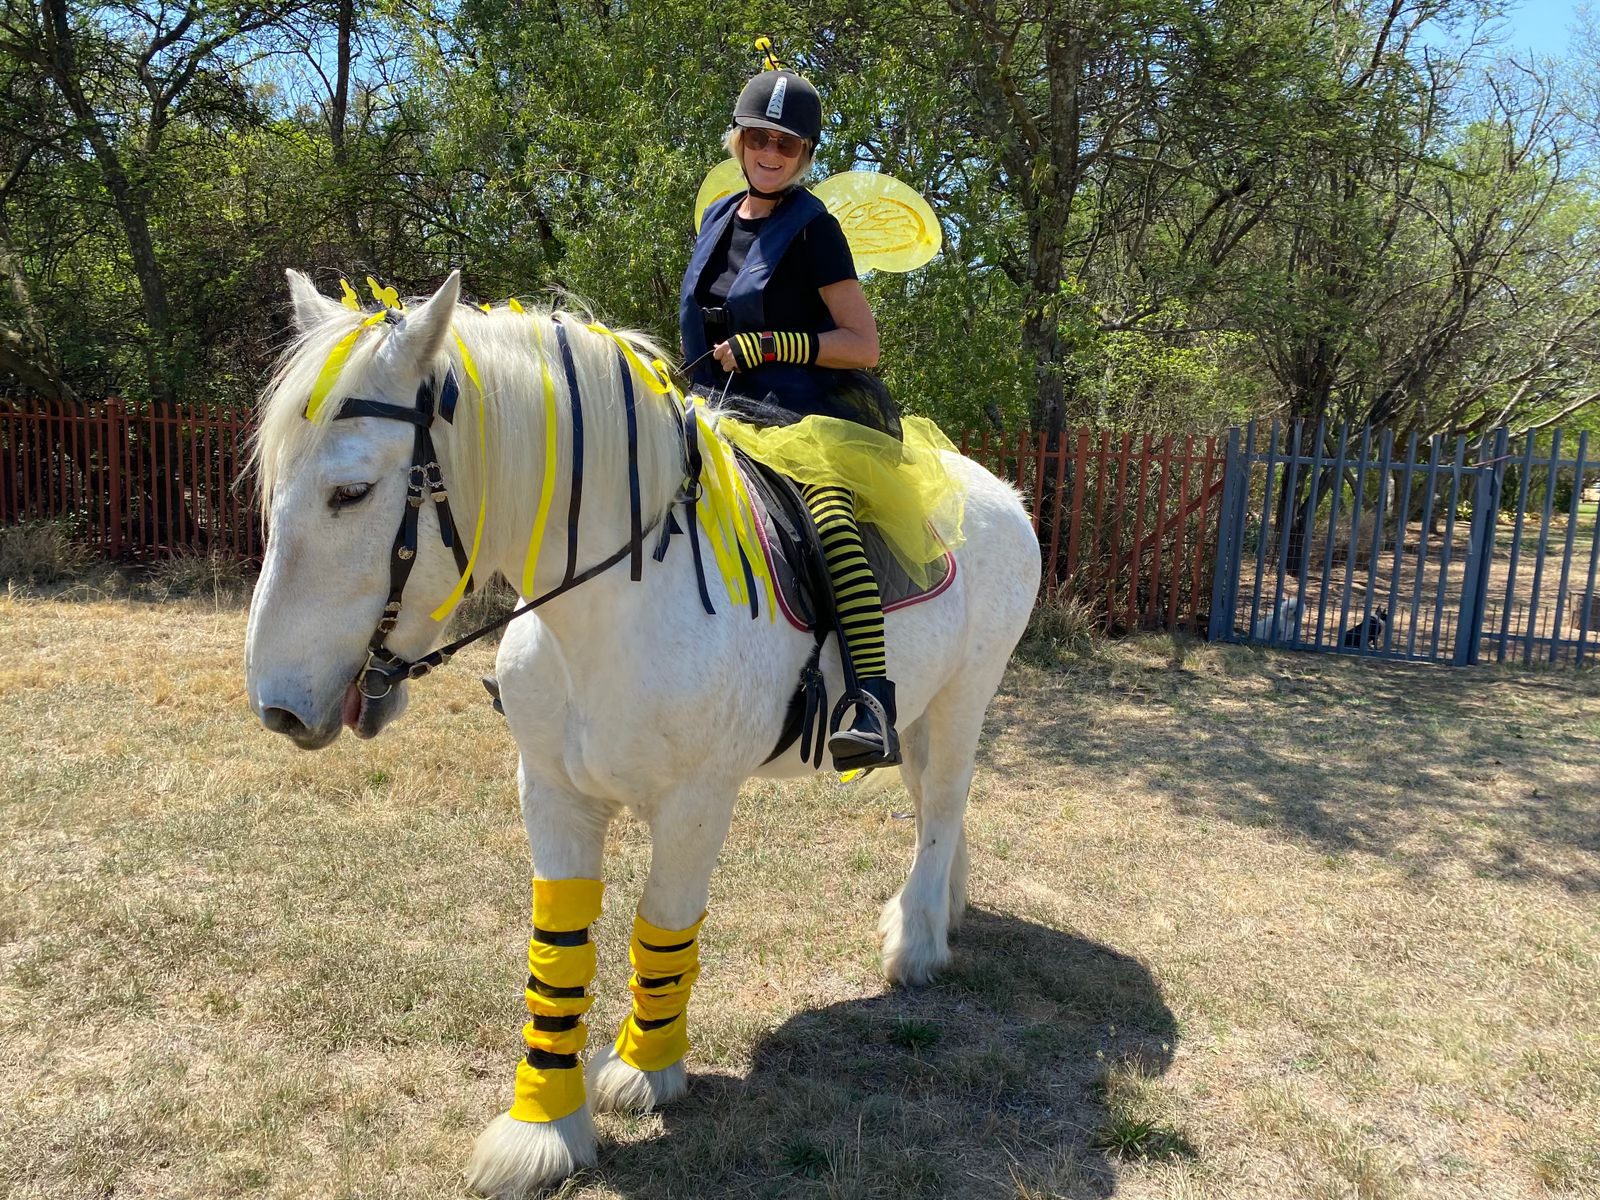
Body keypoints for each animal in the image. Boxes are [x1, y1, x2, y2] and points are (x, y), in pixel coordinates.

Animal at [244, 271, 1040, 1197]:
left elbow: (663, 927)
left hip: (963, 698)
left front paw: (645, 1072)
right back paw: (943, 907)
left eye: (352, 492)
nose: (278, 706)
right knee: (937, 806)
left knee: (944, 804)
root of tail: (1002, 495)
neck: (616, 604)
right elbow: (558, 950)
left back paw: (917, 938)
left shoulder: (697, 805)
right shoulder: (551, 794)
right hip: (917, 711)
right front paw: (543, 1131)